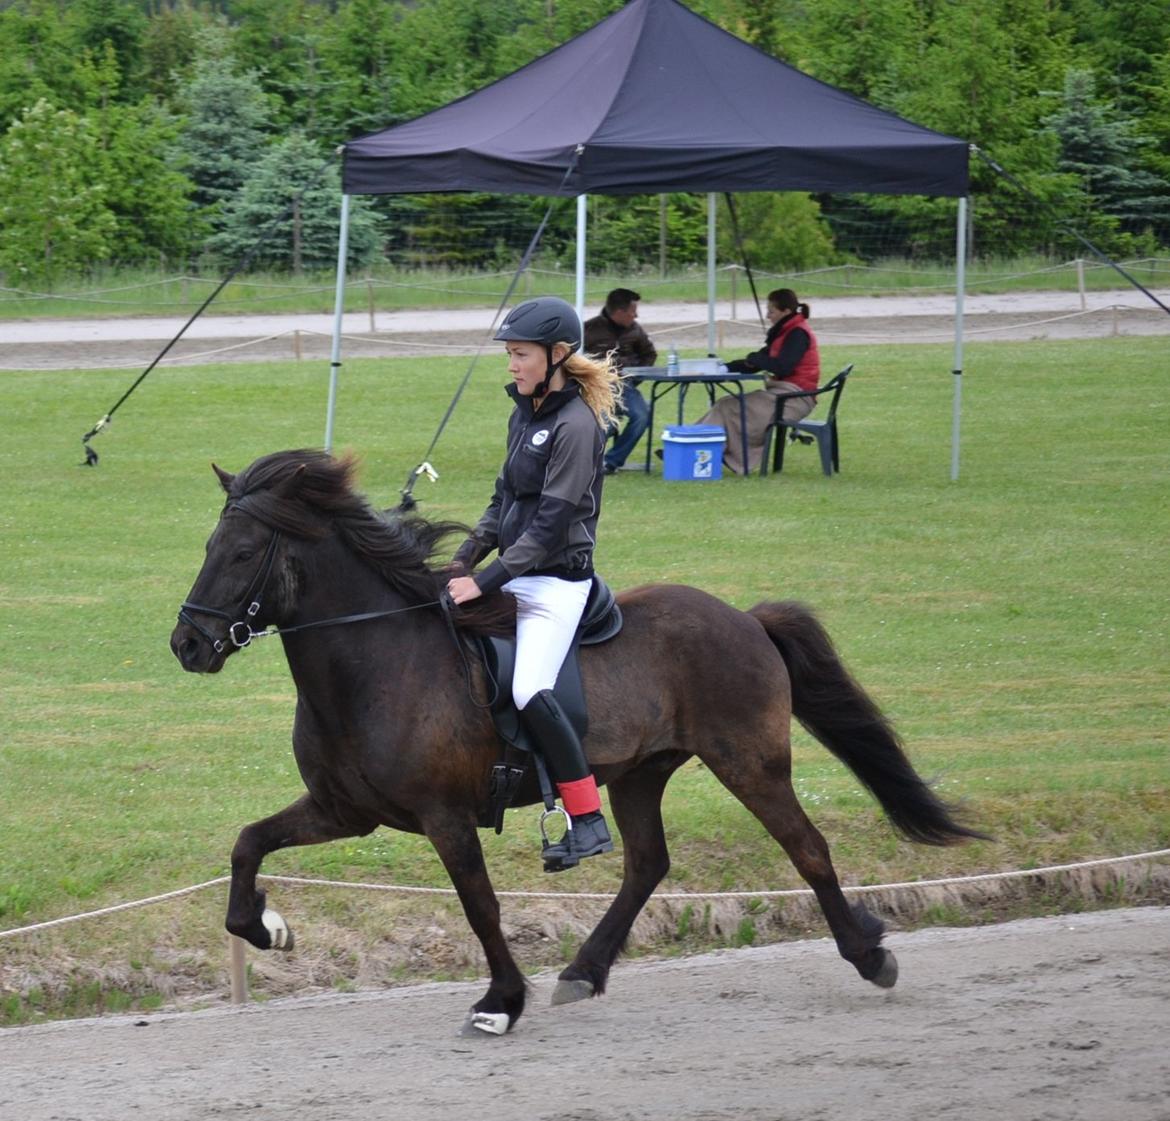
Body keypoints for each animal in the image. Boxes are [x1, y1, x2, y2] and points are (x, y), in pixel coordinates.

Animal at [169, 446, 982, 1034]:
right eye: (208, 543)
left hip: (750, 764)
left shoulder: (445, 817)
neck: (375, 658)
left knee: (806, 848)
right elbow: (247, 845)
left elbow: (481, 906)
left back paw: (869, 954)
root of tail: (744, 618)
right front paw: (268, 927)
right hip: (640, 773)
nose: (188, 644)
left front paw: (500, 1000)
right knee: (648, 864)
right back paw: (584, 971)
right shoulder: (344, 810)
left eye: (242, 553)